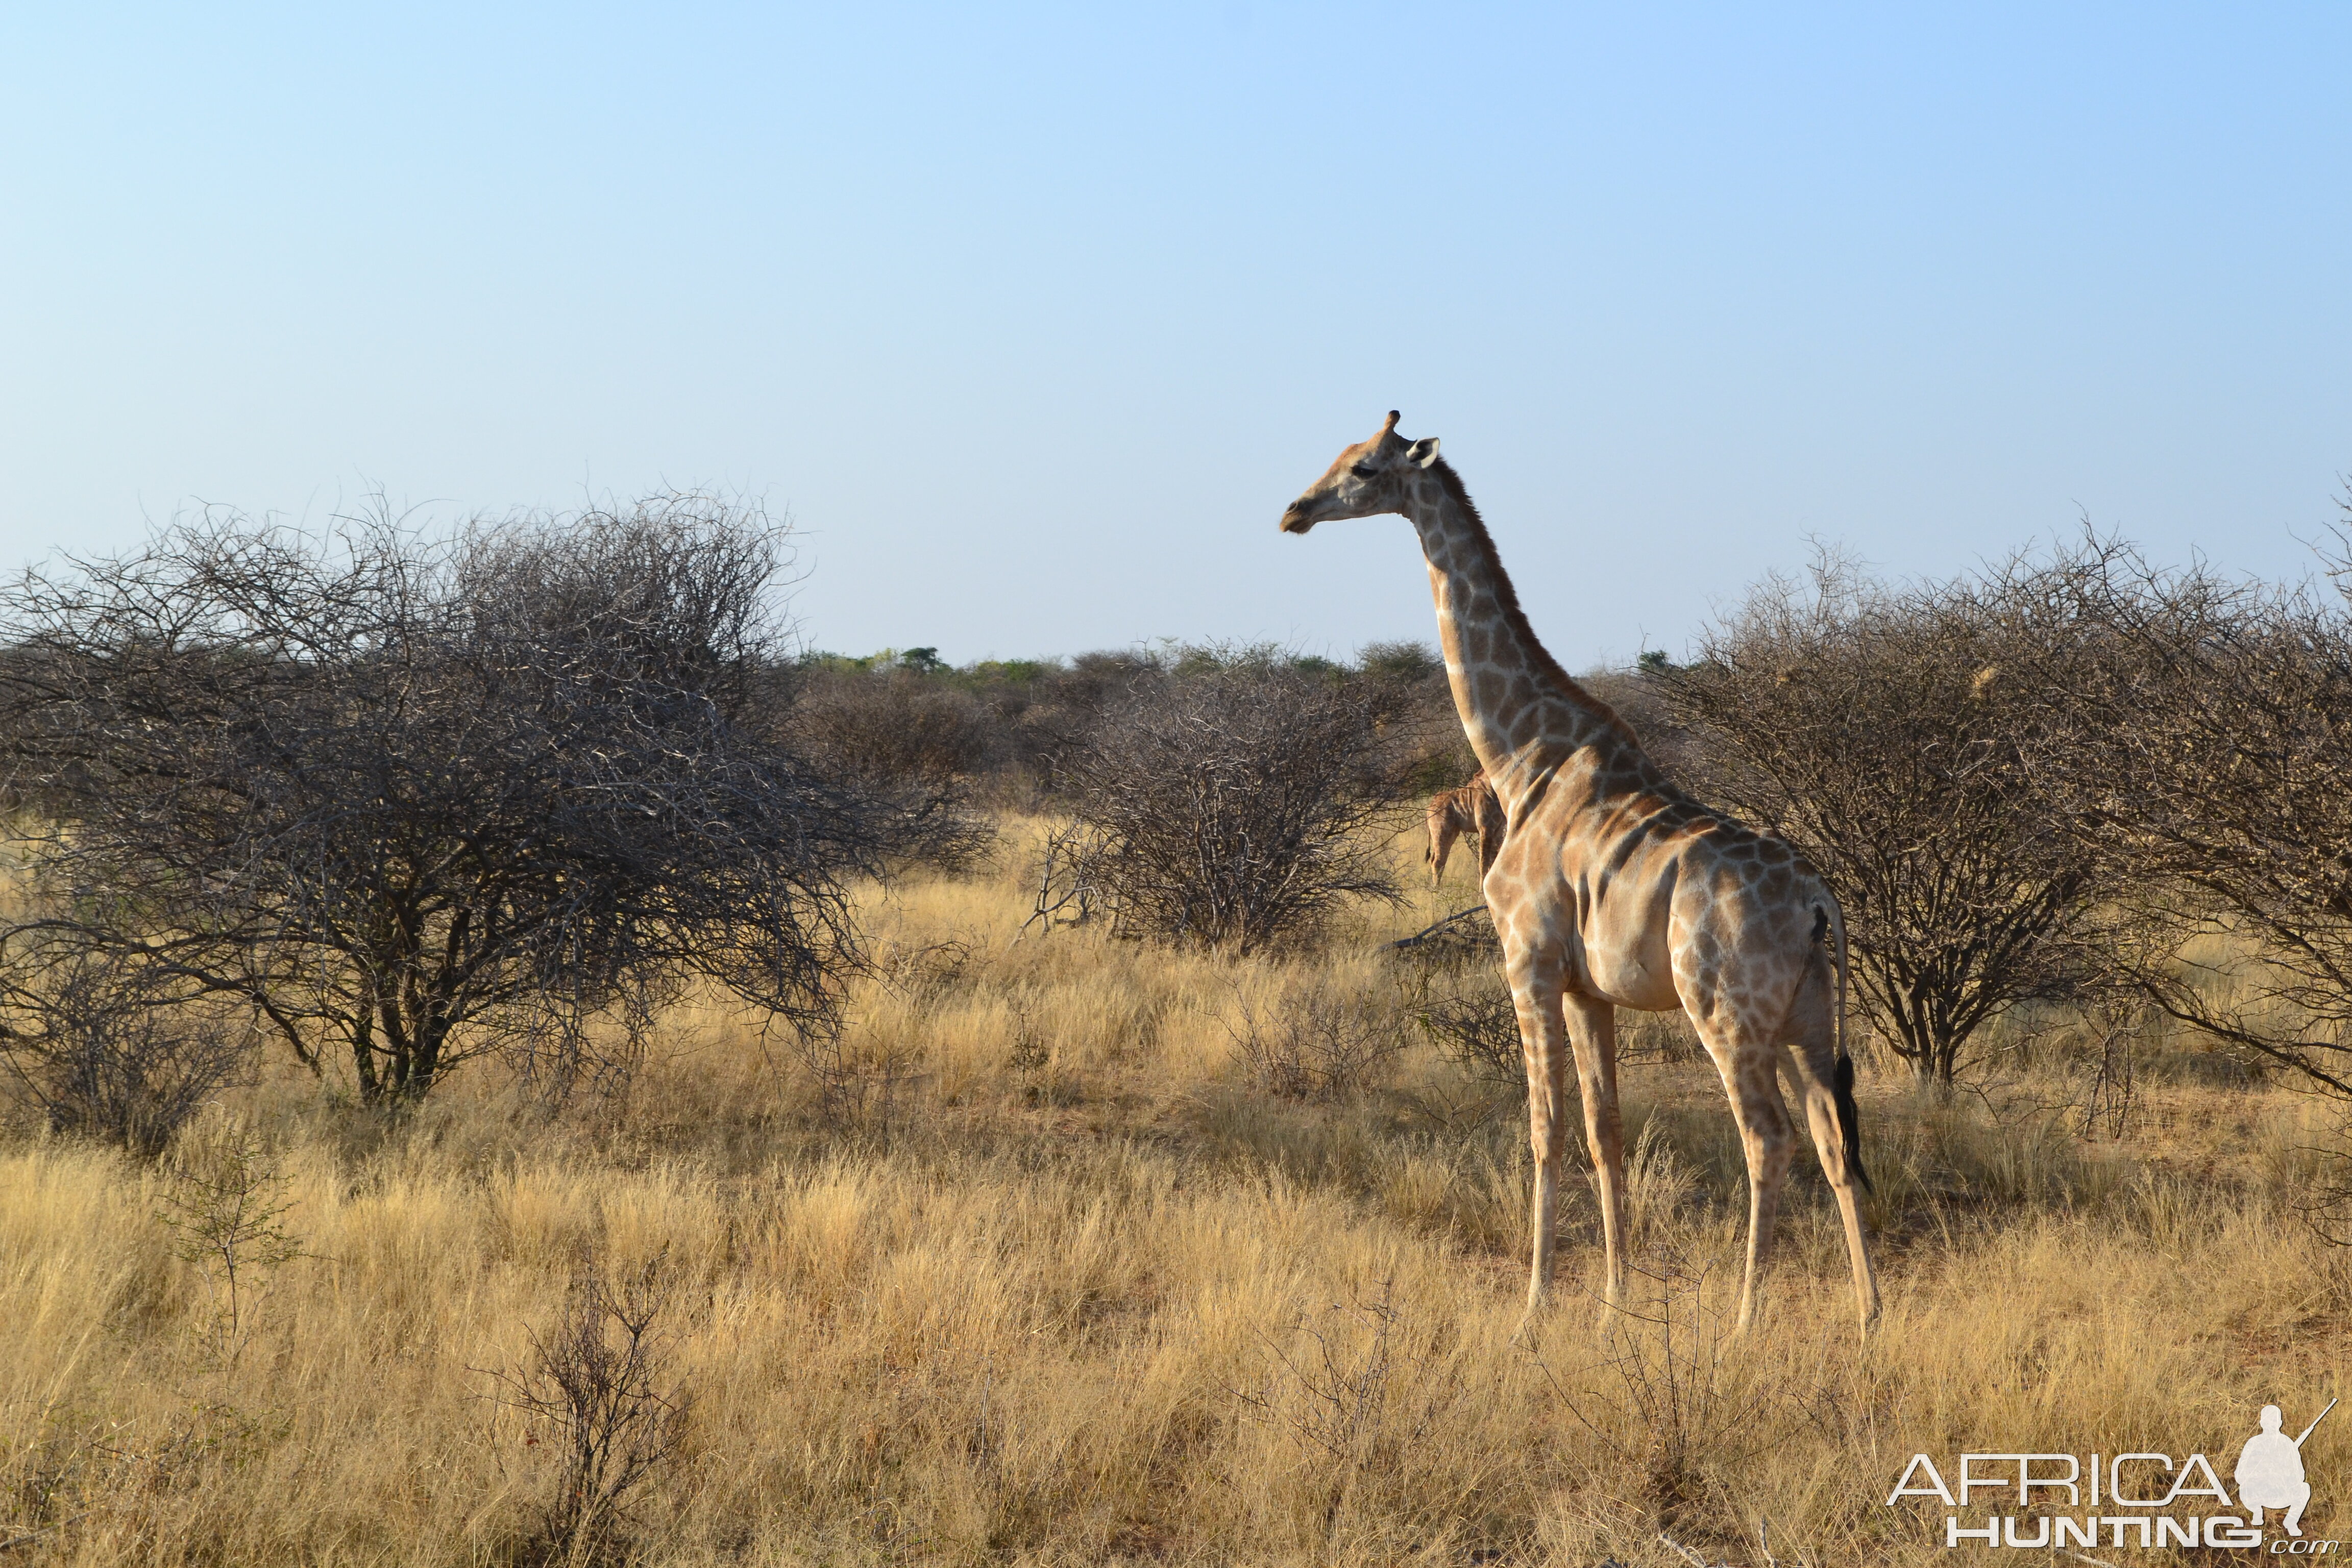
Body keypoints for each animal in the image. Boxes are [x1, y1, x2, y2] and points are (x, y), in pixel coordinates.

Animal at [1430, 771, 1505, 884]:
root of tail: (1430, 806)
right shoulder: (1485, 828)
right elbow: (1483, 864)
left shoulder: (1498, 830)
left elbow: (1493, 862)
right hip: (1440, 831)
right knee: (1437, 862)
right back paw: (1435, 889)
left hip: (1450, 834)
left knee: (1438, 860)